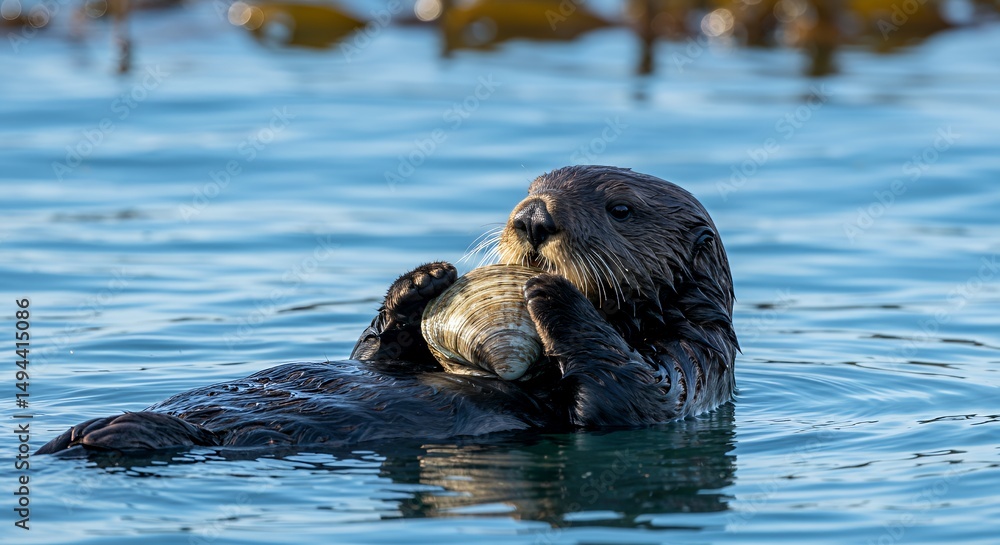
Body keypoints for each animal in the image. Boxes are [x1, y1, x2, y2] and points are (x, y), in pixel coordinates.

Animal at [37, 166, 737, 454]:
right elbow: (376, 356)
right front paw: (422, 282)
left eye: (621, 209)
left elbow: (630, 396)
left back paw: (110, 434)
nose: (533, 218)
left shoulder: (693, 362)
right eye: (531, 187)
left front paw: (550, 293)